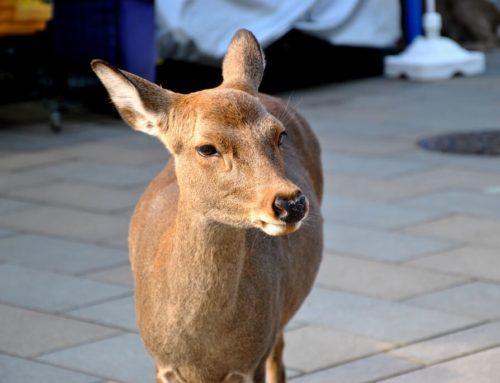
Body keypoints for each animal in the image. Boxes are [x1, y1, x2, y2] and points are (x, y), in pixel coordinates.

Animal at [91, 28, 322, 382]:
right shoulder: (161, 363)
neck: (202, 353)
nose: (290, 203)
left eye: (279, 135)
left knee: (279, 356)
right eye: (206, 148)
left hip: (277, 323)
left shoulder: (252, 358)